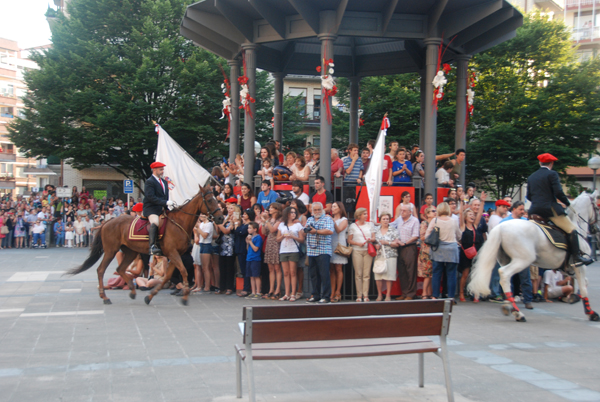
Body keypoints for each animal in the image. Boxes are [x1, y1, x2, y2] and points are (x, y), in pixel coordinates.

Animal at [67, 184, 224, 306]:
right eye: (209, 200)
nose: (221, 218)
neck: (179, 223)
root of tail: (108, 221)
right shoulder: (173, 253)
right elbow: (183, 272)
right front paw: (185, 297)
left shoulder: (174, 255)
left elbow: (167, 277)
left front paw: (150, 296)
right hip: (111, 251)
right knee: (101, 270)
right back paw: (105, 297)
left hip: (130, 251)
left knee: (121, 269)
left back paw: (132, 290)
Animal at [468, 191, 600, 322]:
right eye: (598, 207)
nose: (596, 230)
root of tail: (500, 227)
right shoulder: (579, 266)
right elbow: (584, 287)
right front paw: (590, 313)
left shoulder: (569, 269)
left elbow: (585, 282)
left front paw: (577, 300)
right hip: (523, 260)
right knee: (504, 274)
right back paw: (518, 313)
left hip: (506, 260)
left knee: (506, 280)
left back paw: (509, 306)